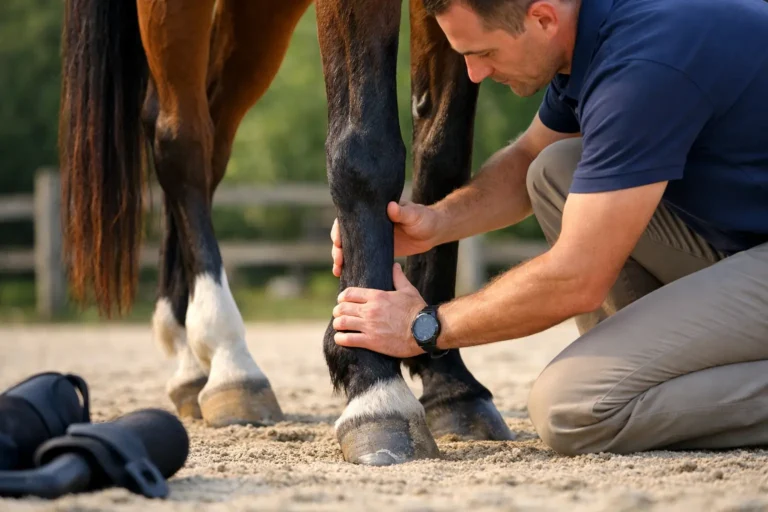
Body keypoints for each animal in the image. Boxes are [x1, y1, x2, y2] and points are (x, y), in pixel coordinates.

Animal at [58, 0, 514, 465]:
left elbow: (444, 156)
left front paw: (450, 386)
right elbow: (366, 149)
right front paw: (375, 388)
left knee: (211, 133)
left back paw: (191, 358)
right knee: (180, 139)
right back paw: (229, 359)